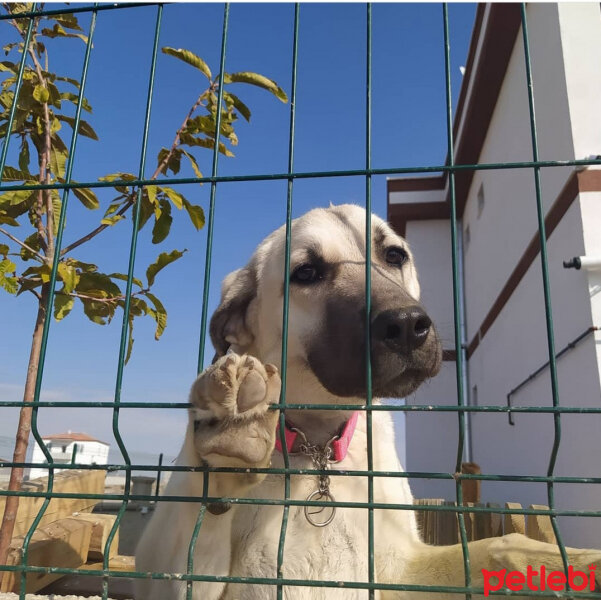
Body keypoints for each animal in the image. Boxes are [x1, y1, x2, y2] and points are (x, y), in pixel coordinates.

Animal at [136, 205, 600, 600]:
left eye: (394, 254)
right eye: (306, 272)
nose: (408, 325)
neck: (316, 448)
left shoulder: (401, 567)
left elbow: (500, 544)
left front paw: (571, 560)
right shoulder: (175, 576)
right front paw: (228, 444)